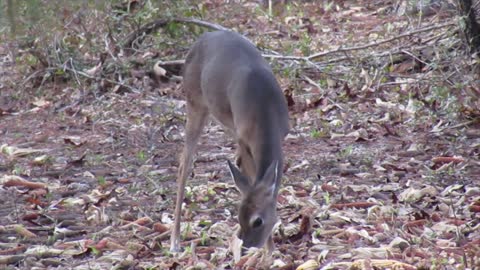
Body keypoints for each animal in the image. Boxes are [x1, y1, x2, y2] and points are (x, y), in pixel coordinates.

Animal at [170, 30, 288, 252]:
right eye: (240, 217)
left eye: (257, 221)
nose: (247, 245)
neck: (266, 111)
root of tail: (199, 41)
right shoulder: (245, 139)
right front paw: (270, 250)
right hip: (195, 103)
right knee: (183, 164)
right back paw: (175, 241)